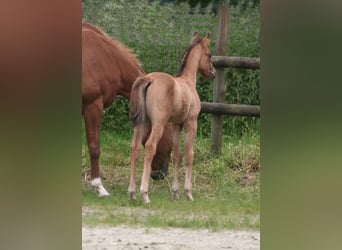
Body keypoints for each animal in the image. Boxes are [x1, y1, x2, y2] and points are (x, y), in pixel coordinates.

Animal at [82, 22, 172, 196]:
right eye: (168, 133)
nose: (160, 174)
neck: (106, 57)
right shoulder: (92, 107)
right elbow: (94, 147)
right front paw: (98, 186)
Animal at [130, 31, 215, 203]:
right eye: (209, 55)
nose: (213, 73)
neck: (188, 82)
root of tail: (148, 79)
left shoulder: (176, 125)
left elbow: (176, 156)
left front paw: (175, 192)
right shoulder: (191, 123)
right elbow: (189, 155)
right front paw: (188, 192)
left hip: (141, 123)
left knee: (134, 148)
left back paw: (132, 193)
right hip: (158, 124)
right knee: (150, 147)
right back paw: (144, 194)